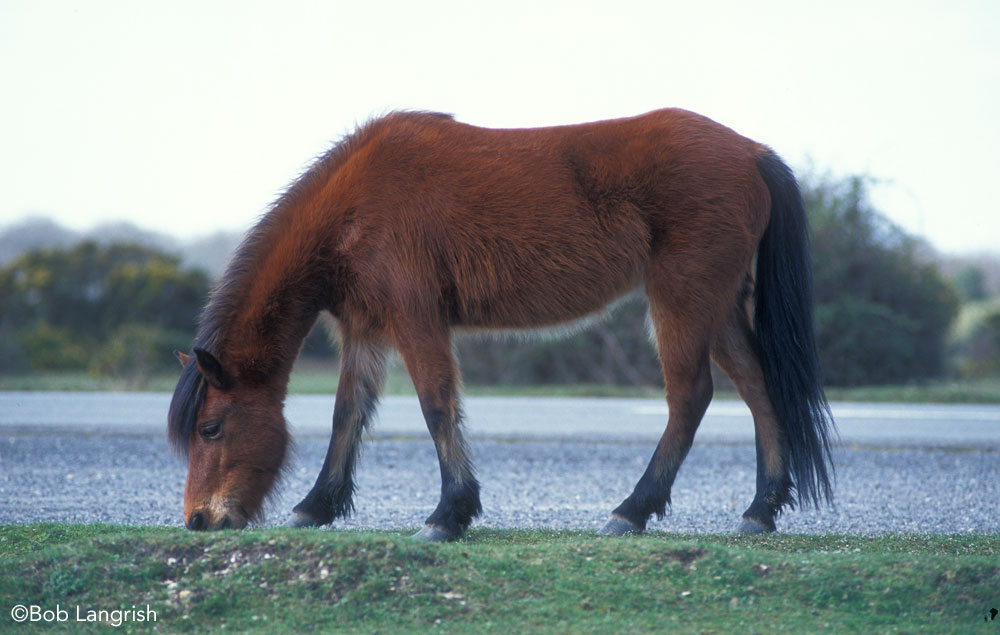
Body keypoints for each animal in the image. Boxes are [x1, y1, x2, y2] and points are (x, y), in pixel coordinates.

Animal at [168, 107, 832, 540]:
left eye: (210, 428)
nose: (199, 520)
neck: (356, 203)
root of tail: (751, 151)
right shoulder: (364, 331)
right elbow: (347, 416)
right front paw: (318, 505)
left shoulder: (417, 320)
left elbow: (437, 407)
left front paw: (448, 515)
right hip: (718, 309)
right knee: (760, 390)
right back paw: (760, 510)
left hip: (683, 300)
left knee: (690, 398)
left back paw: (632, 510)